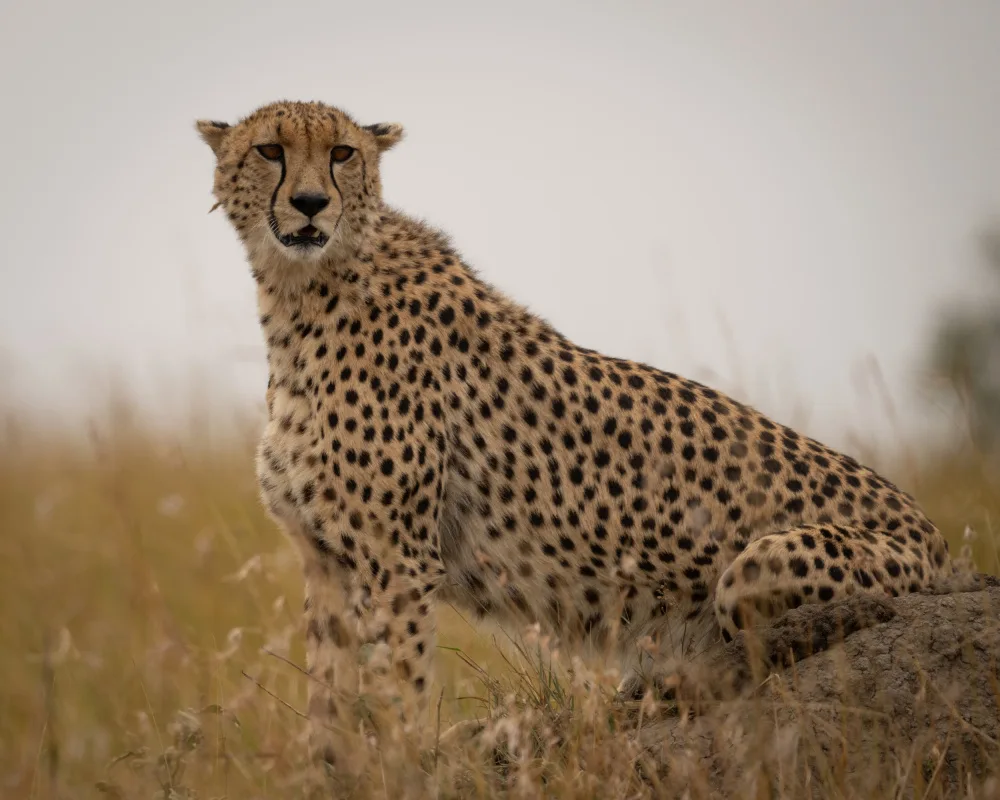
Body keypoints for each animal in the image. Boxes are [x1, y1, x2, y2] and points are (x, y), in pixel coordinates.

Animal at [196, 99, 952, 785]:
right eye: (270, 150)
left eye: (343, 153)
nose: (311, 203)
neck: (301, 292)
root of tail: (940, 539)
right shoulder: (325, 559)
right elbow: (327, 699)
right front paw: (328, 771)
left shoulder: (396, 562)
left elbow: (396, 691)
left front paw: (400, 767)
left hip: (756, 570)